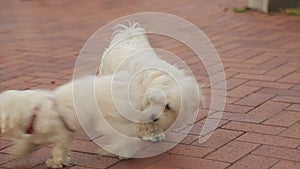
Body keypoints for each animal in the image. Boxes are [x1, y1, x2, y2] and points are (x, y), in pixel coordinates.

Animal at [0, 72, 162, 168]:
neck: (35, 111)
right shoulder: (35, 134)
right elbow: (27, 144)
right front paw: (18, 155)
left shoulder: (63, 135)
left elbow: (58, 150)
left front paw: (56, 162)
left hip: (107, 121)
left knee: (127, 138)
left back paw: (119, 152)